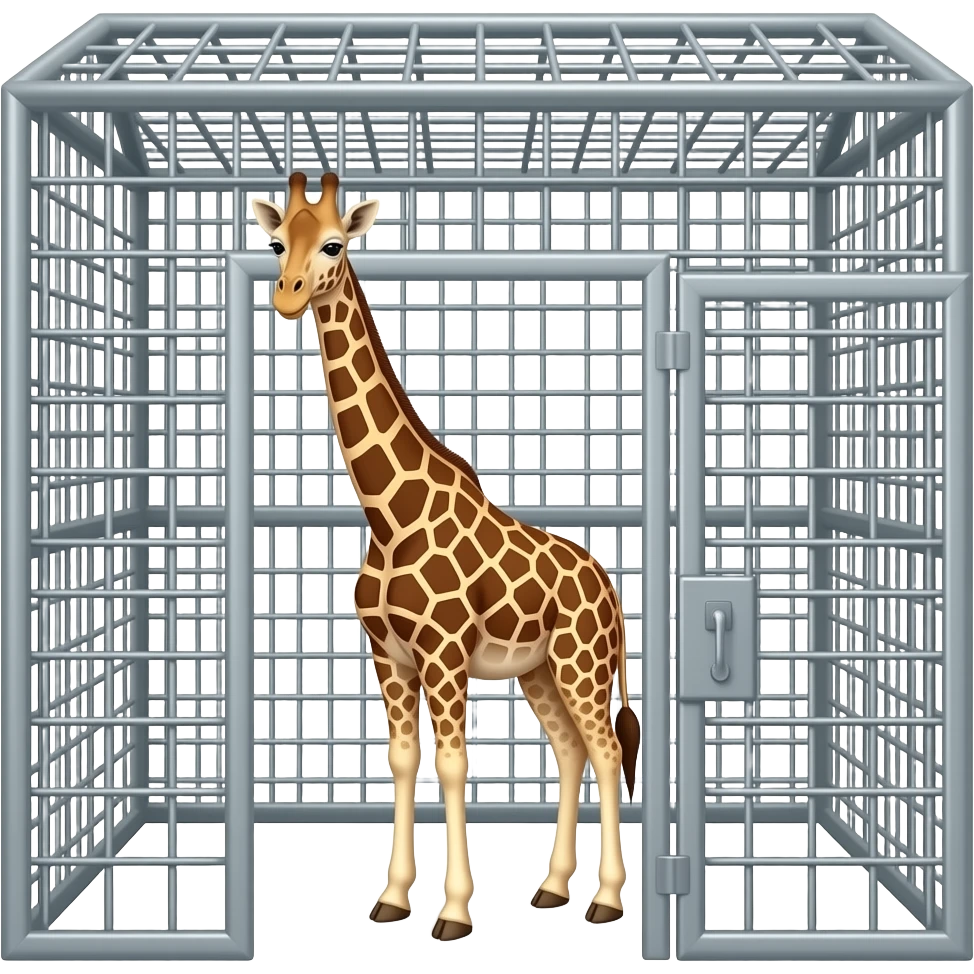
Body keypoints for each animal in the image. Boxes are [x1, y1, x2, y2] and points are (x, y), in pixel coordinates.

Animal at [252, 172, 642, 942]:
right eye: (277, 243)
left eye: (334, 243)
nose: (286, 294)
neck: (389, 515)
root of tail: (611, 589)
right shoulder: (390, 657)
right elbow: (404, 762)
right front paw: (392, 900)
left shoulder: (444, 655)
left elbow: (456, 767)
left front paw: (455, 913)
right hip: (539, 673)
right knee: (572, 750)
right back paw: (552, 889)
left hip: (582, 666)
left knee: (607, 752)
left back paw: (607, 902)